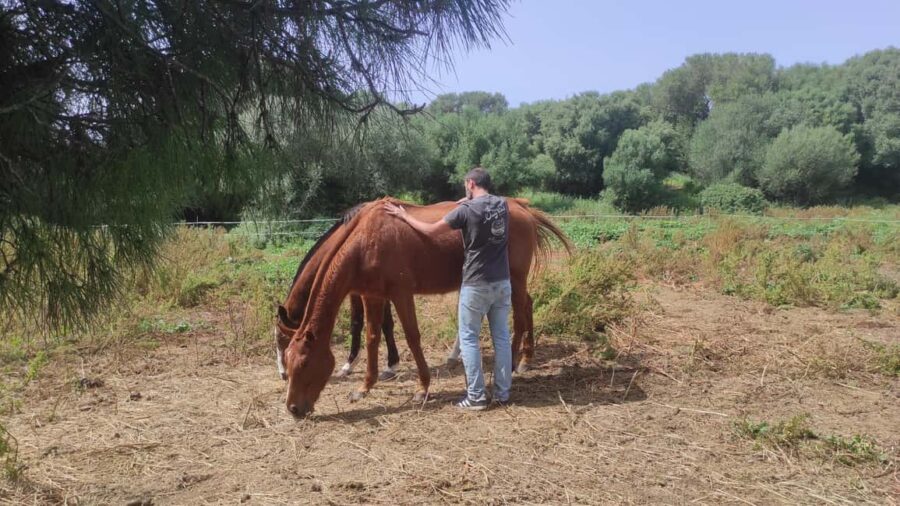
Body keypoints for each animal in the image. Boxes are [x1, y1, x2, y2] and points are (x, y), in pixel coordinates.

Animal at [277, 198, 571, 418]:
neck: (367, 241)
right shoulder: (372, 296)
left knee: (520, 316)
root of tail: (522, 207)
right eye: (288, 359)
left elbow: (411, 337)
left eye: (304, 364)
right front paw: (365, 386)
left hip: (515, 279)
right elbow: (372, 337)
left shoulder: (401, 294)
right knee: (527, 308)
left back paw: (515, 362)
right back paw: (524, 359)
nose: (293, 409)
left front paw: (422, 387)